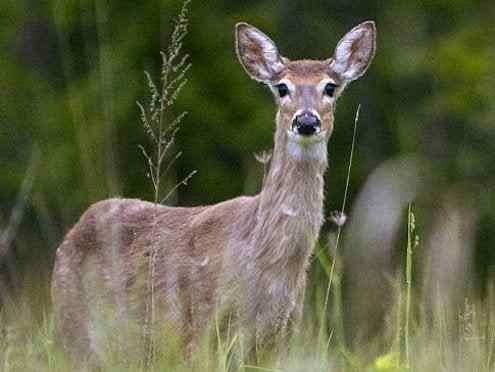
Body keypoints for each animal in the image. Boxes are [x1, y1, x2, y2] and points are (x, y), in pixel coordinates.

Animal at [52, 19, 376, 364]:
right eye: (282, 87)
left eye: (330, 87)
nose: (305, 121)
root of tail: (70, 236)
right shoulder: (198, 330)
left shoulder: (280, 336)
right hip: (75, 332)